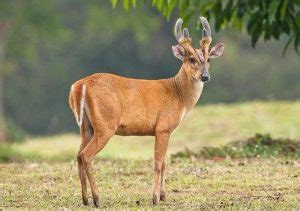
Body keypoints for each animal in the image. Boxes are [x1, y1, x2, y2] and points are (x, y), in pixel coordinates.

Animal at [68, 16, 223, 208]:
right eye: (191, 59)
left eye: (208, 59)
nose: (205, 76)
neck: (178, 93)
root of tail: (80, 85)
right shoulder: (162, 127)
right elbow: (157, 163)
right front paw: (155, 198)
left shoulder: (168, 131)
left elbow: (164, 163)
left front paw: (163, 196)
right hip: (105, 125)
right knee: (86, 155)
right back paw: (97, 198)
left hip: (87, 126)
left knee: (78, 155)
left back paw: (85, 199)